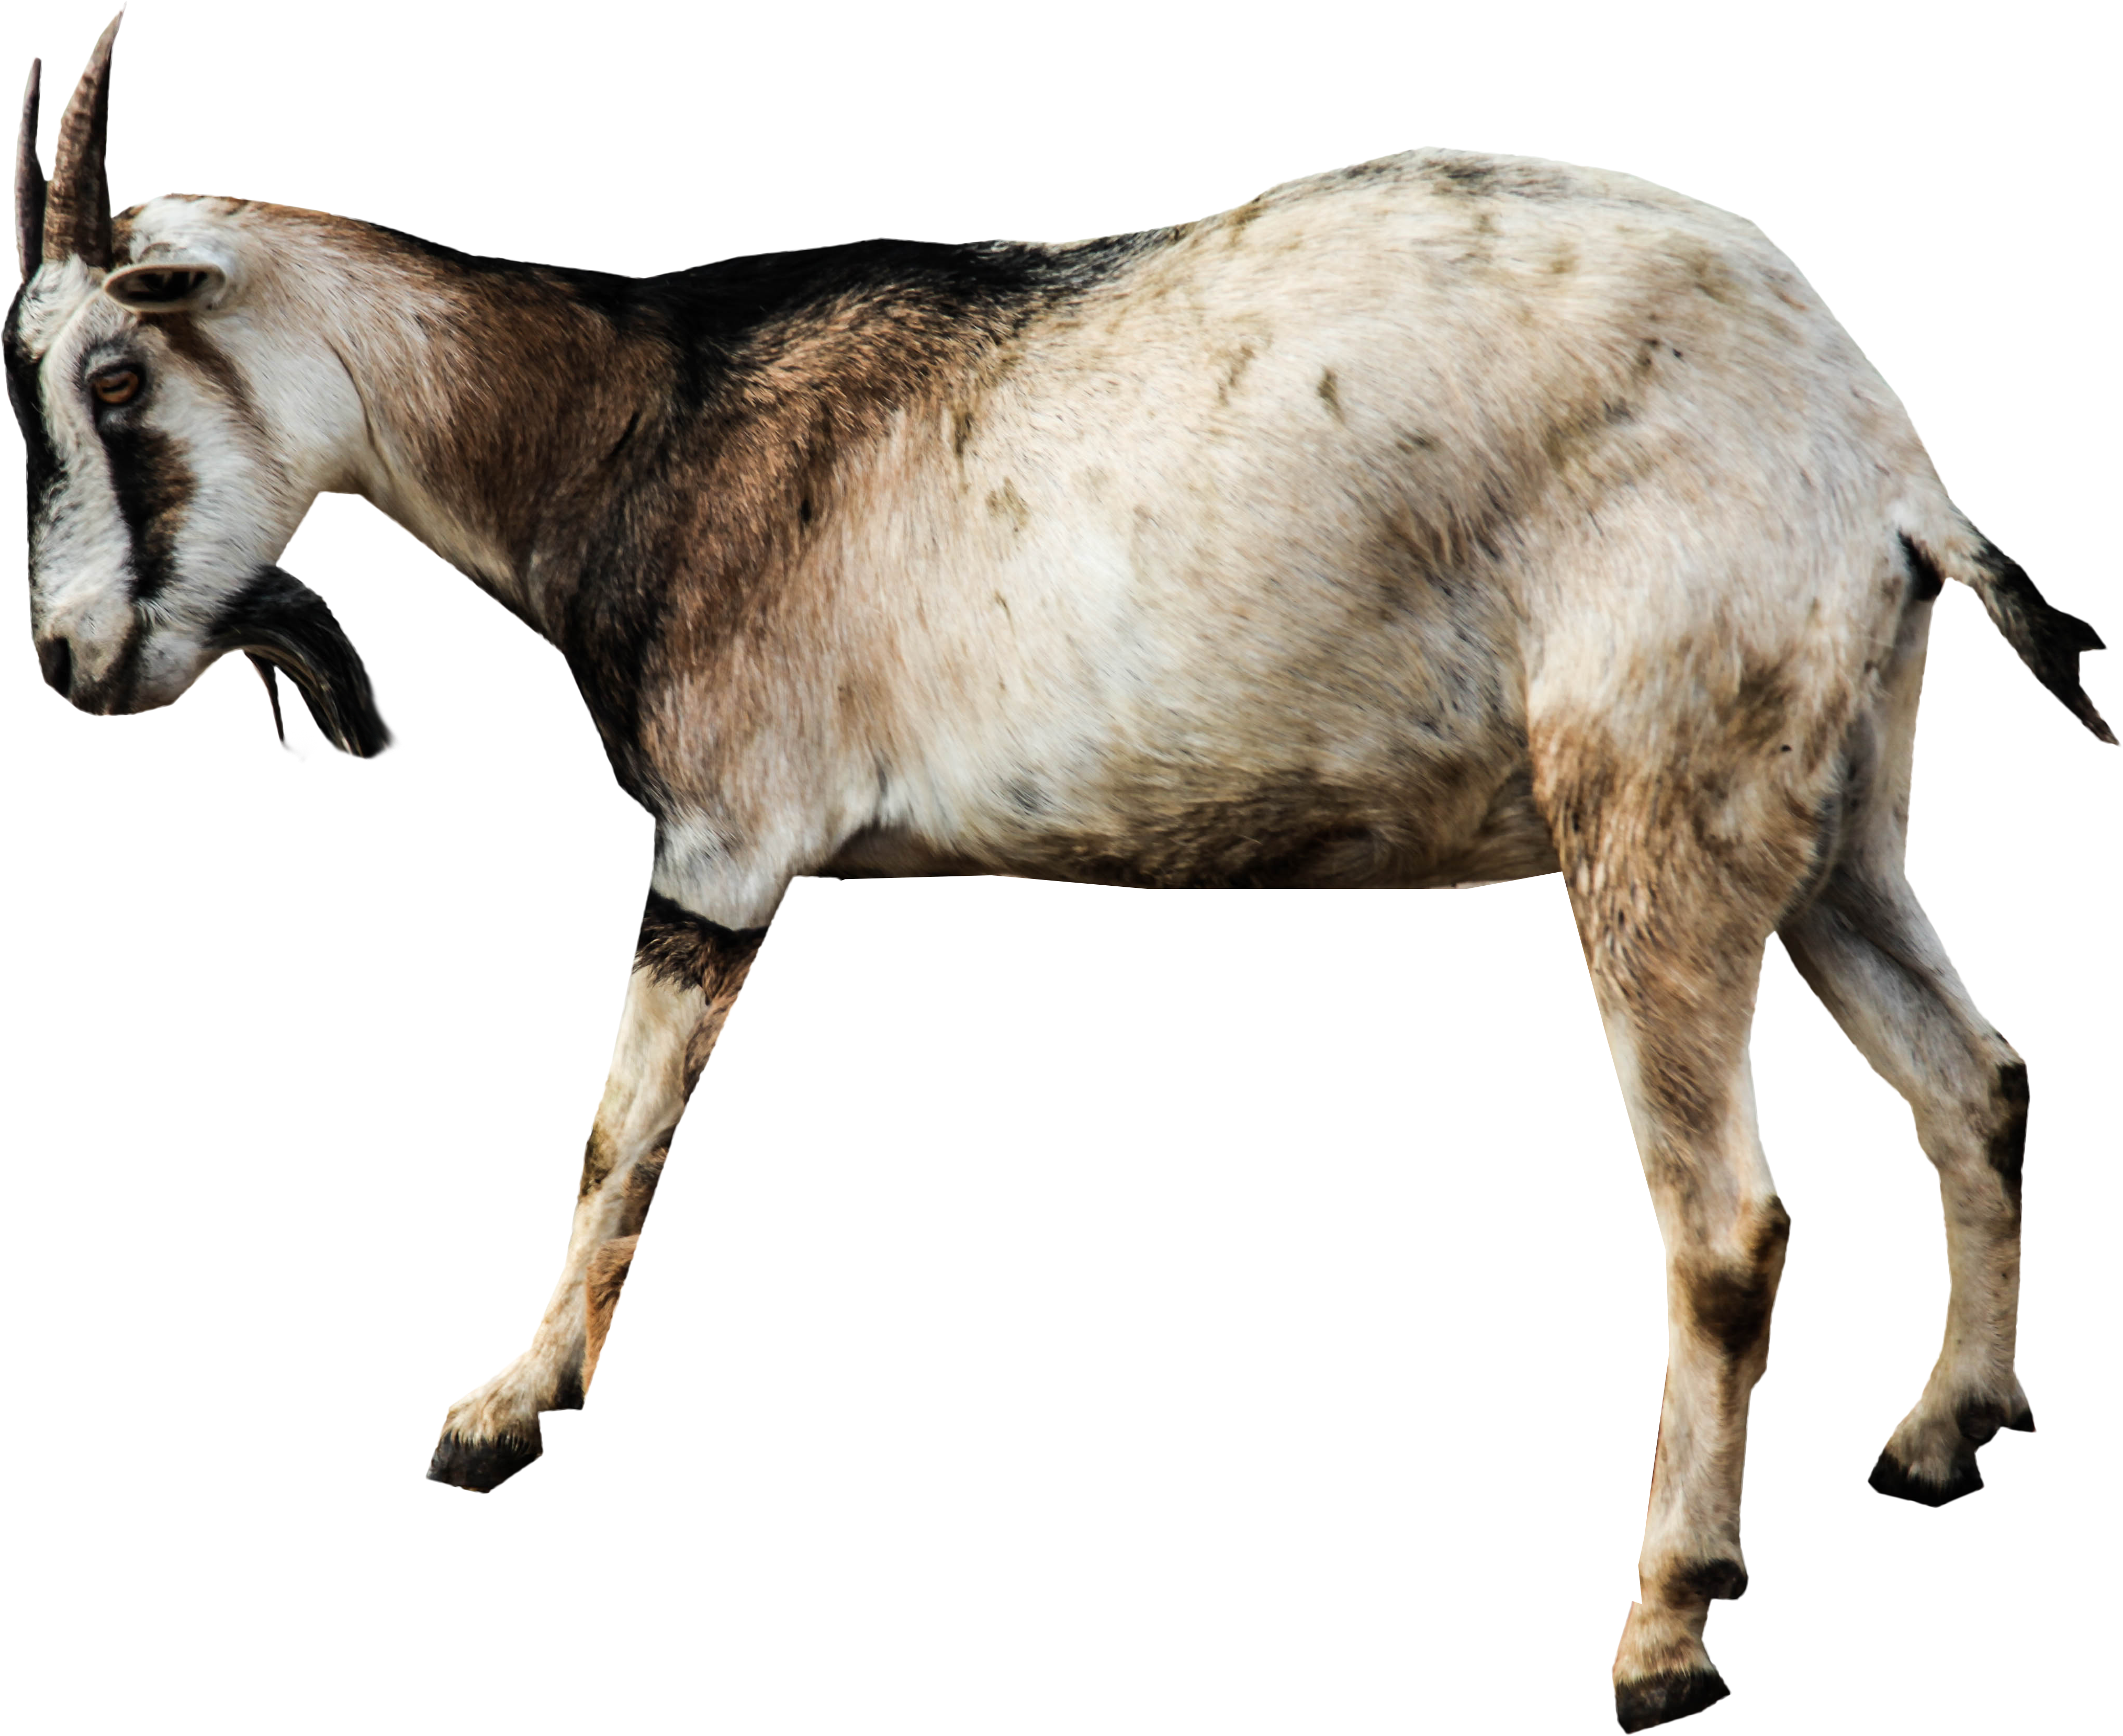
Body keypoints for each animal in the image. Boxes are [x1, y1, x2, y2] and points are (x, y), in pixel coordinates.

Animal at [12, 12, 2111, 1729]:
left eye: (114, 379)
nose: (68, 660)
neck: (638, 414)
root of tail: (1873, 453)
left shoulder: (720, 847)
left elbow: (617, 1142)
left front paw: (503, 1416)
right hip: (1832, 823)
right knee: (1975, 1077)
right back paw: (1948, 1430)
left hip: (1650, 815)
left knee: (1725, 1219)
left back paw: (1666, 1626)